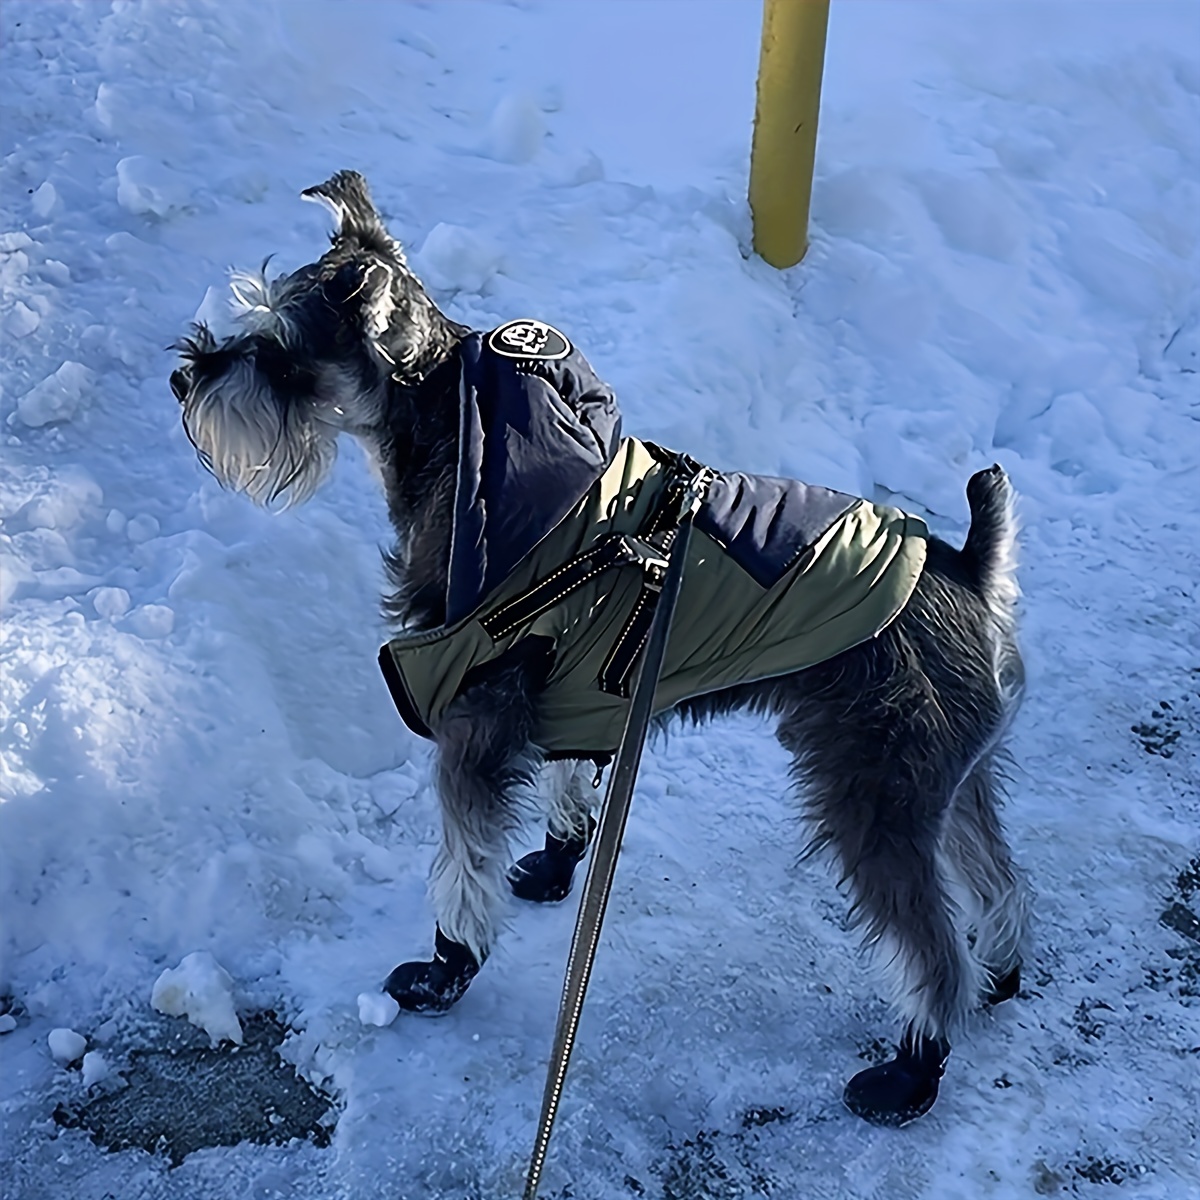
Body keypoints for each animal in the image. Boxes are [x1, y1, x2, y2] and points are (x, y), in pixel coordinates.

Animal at [174, 174, 1027, 1128]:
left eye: (280, 355)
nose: (184, 375)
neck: (468, 454)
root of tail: (971, 568)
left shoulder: (472, 724)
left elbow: (461, 861)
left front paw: (444, 969)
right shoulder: (575, 694)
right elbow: (567, 782)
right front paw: (556, 861)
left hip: (875, 793)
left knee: (931, 947)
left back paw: (915, 1064)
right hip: (949, 780)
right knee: (999, 875)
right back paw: (1000, 971)